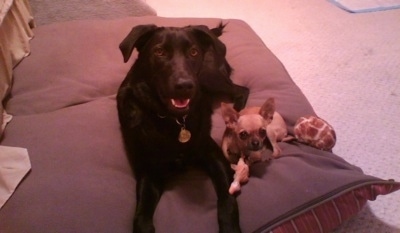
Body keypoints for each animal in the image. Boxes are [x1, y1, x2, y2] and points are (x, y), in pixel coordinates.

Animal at [116, 22, 247, 232]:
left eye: (193, 52)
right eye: (159, 51)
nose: (185, 85)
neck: (174, 120)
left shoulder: (213, 154)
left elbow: (227, 200)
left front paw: (230, 227)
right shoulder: (148, 172)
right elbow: (141, 217)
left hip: (208, 77)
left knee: (242, 90)